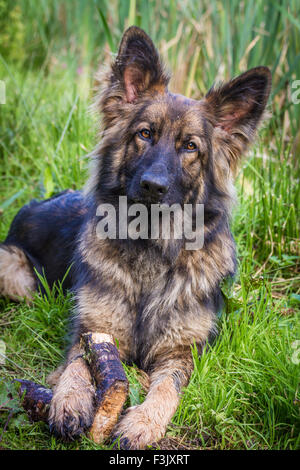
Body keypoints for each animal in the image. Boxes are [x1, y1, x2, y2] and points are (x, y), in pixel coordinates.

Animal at [0, 27, 272, 450]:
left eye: (190, 146)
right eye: (145, 134)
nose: (153, 186)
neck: (152, 251)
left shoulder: (183, 352)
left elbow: (167, 388)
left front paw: (142, 422)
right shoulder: (94, 331)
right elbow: (77, 365)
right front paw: (69, 400)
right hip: (18, 278)